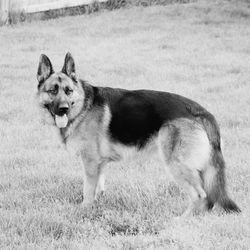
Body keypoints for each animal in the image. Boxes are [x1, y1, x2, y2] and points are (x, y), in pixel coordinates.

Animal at [36, 52, 241, 215]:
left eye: (68, 91)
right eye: (53, 91)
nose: (63, 109)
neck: (83, 106)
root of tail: (201, 112)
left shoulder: (90, 163)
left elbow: (87, 191)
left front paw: (84, 211)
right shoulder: (99, 164)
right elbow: (98, 189)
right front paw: (97, 207)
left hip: (177, 165)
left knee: (201, 196)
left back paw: (182, 220)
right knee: (208, 199)